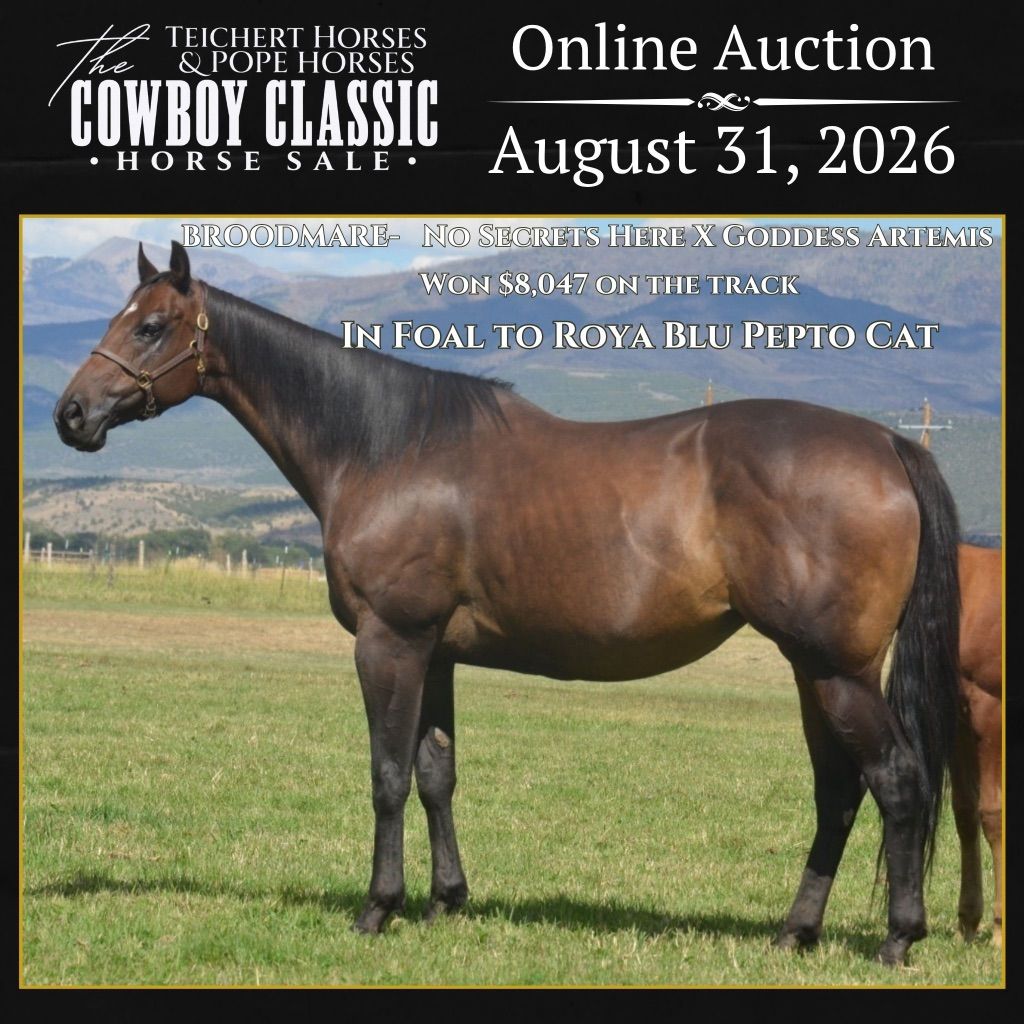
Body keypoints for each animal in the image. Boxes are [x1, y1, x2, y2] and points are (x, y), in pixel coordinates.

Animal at [52, 242, 962, 966]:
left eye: (150, 326)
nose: (70, 415)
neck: (387, 448)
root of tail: (888, 443)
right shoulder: (434, 652)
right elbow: (436, 774)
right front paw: (446, 901)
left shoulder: (389, 642)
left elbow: (387, 775)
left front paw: (378, 909)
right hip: (815, 672)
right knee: (839, 792)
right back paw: (794, 932)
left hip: (838, 672)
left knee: (898, 781)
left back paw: (898, 937)